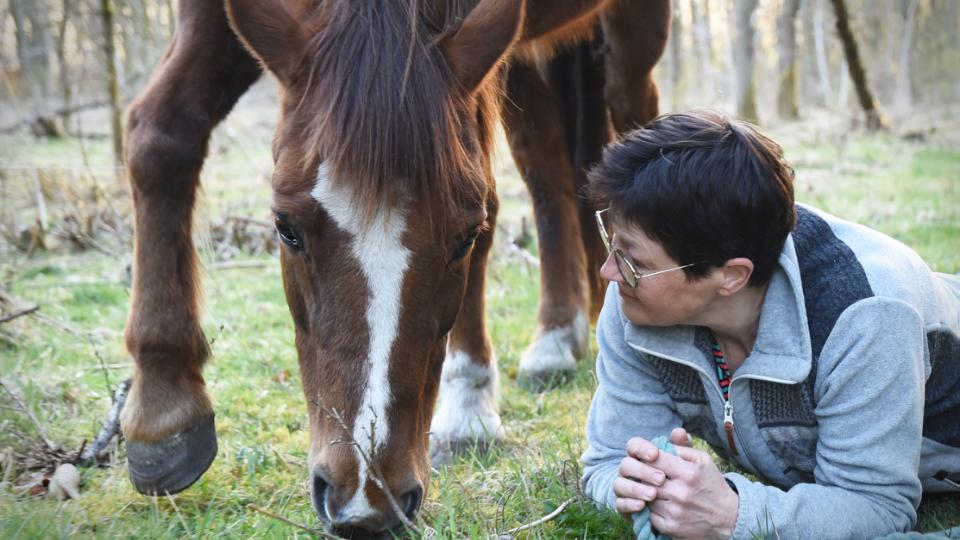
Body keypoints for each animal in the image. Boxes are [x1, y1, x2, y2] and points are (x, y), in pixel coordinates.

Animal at [120, 0, 668, 536]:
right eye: (285, 227)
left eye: (465, 238)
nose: (365, 505)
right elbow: (161, 131)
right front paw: (161, 406)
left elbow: (490, 195)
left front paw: (467, 406)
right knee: (544, 157)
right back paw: (557, 338)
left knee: (632, 112)